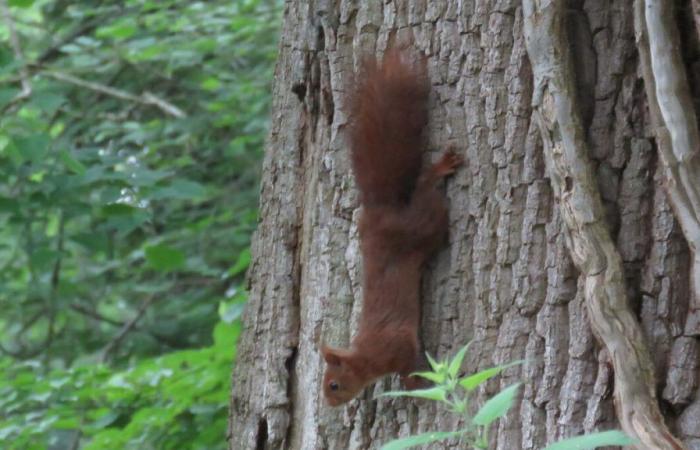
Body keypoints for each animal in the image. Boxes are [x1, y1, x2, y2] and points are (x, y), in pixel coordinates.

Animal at [320, 47, 462, 406]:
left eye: (333, 385)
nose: (329, 404)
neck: (365, 357)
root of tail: (379, 213)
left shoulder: (396, 345)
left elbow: (409, 364)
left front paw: (418, 386)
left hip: (421, 226)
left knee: (425, 190)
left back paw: (441, 167)